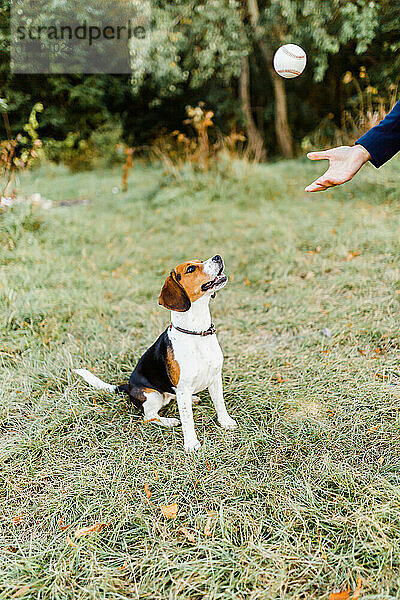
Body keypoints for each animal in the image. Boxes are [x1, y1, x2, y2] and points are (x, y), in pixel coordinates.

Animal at [74, 255, 236, 452]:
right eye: (190, 269)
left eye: (199, 261)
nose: (217, 257)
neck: (197, 332)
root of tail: (127, 387)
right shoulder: (183, 388)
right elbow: (187, 419)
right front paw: (191, 443)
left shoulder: (215, 378)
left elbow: (220, 403)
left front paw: (225, 422)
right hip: (152, 395)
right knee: (149, 416)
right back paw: (169, 421)